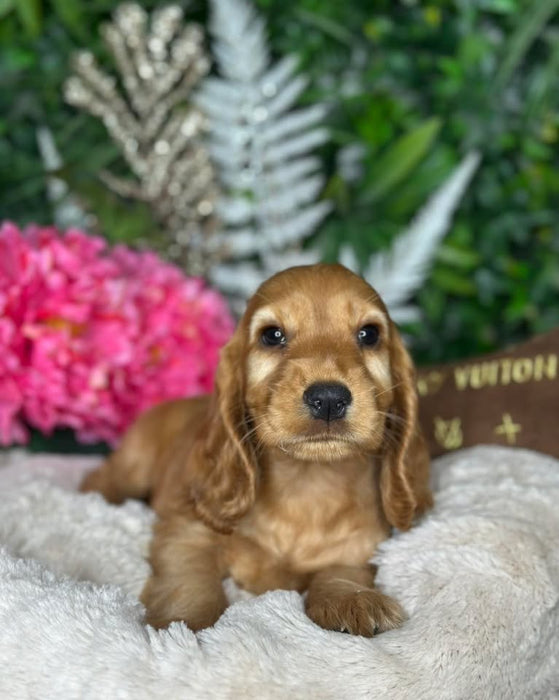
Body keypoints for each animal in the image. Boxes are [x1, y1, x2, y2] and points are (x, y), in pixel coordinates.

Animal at [82, 262, 434, 636]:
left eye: (369, 334)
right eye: (272, 335)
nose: (328, 398)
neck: (308, 483)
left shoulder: (358, 548)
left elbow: (342, 570)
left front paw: (352, 600)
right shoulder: (186, 529)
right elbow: (190, 579)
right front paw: (181, 623)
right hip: (134, 463)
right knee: (103, 476)